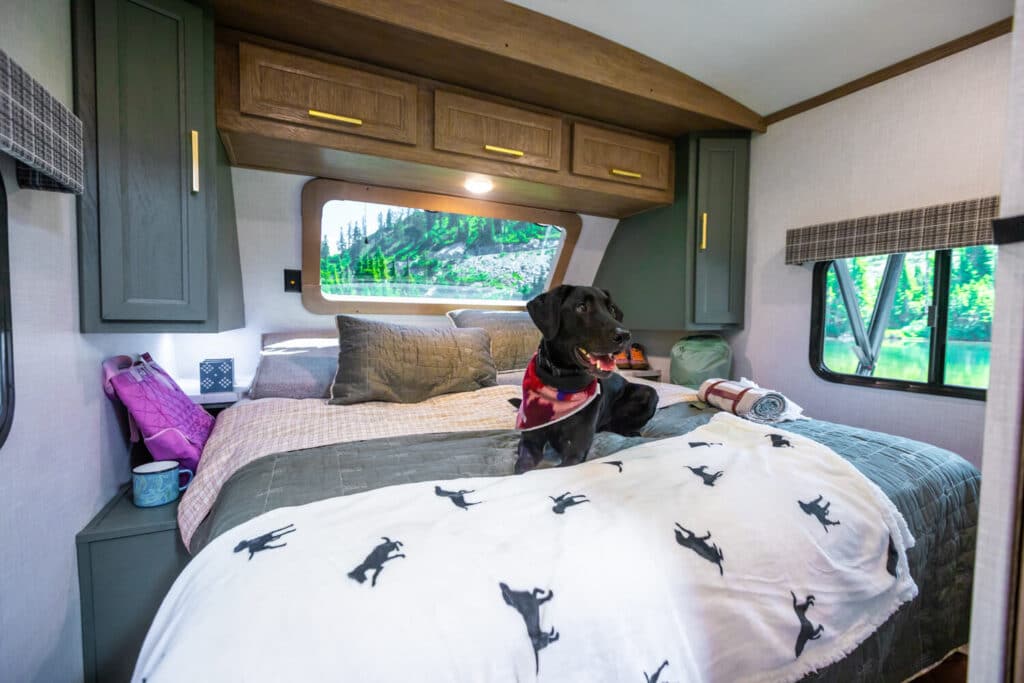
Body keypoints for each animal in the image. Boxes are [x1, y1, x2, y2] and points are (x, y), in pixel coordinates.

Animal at [516, 284, 659, 475]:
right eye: (581, 307)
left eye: (611, 309)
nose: (625, 335)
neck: (562, 383)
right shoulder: (529, 440)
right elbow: (522, 467)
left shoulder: (575, 452)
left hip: (649, 393)